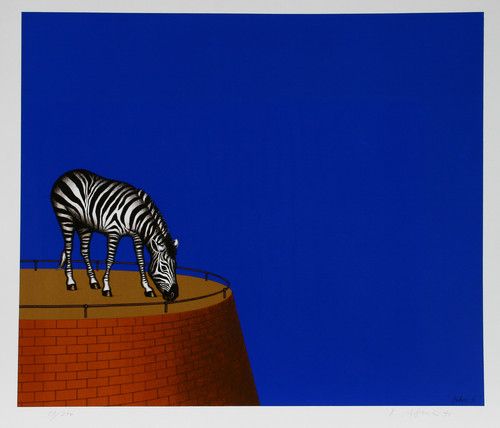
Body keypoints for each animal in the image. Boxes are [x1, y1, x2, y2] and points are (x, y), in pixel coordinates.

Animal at [50, 169, 179, 302]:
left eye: (175, 266)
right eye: (163, 267)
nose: (174, 295)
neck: (135, 215)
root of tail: (68, 173)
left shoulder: (137, 236)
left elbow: (141, 261)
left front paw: (148, 288)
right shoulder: (114, 232)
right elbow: (110, 260)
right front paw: (106, 288)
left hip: (84, 223)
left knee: (84, 251)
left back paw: (93, 282)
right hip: (64, 216)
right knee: (69, 249)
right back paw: (71, 282)